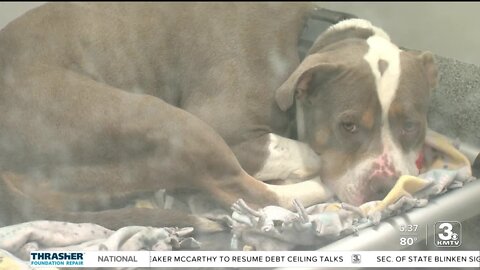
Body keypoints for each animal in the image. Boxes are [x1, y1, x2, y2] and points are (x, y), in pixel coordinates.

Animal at [0, 2, 436, 232]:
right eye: (347, 125)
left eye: (411, 125)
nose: (386, 186)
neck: (308, 40)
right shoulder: (229, 128)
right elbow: (305, 153)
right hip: (170, 120)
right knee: (249, 193)